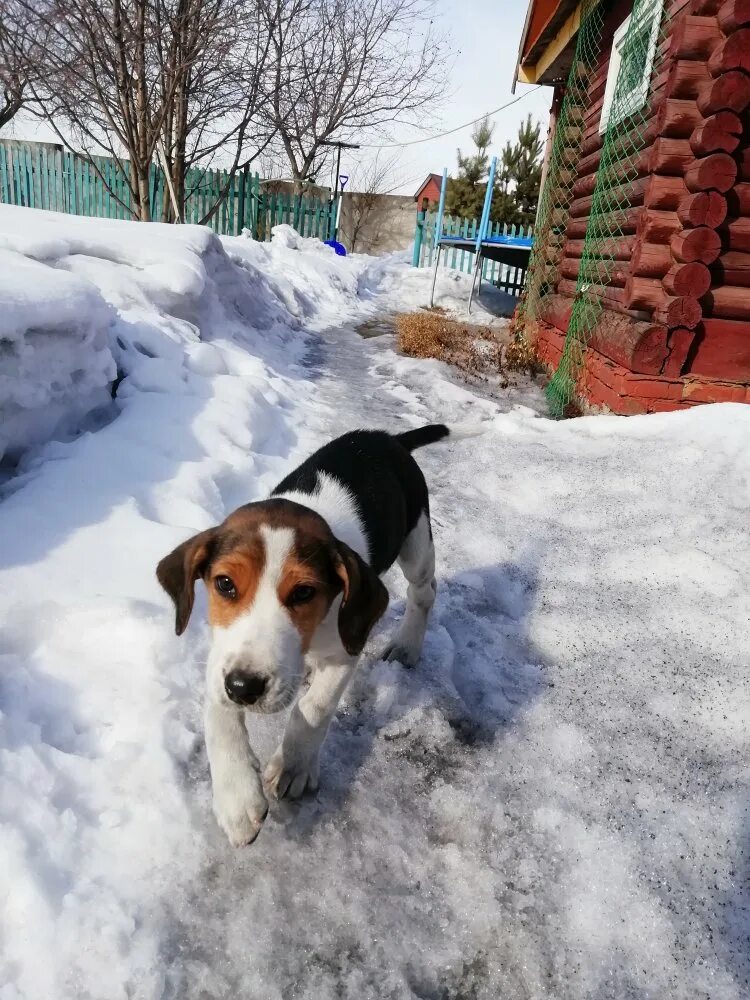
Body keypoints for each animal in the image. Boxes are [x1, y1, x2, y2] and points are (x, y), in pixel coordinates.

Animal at [159, 422, 464, 844]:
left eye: (304, 592)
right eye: (224, 584)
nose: (245, 688)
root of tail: (388, 438)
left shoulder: (343, 651)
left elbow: (313, 709)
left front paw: (293, 767)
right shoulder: (222, 656)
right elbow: (218, 718)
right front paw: (236, 796)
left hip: (417, 542)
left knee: (424, 591)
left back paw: (406, 645)